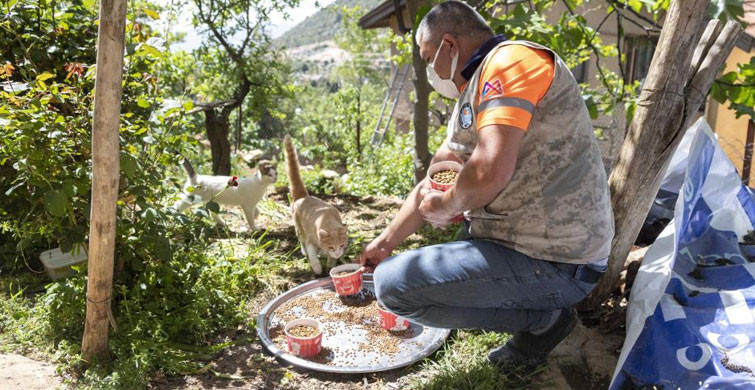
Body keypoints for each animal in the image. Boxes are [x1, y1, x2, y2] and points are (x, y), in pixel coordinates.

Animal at [284, 136, 348, 276]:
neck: (327, 221)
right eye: (331, 246)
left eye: (341, 245)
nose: (337, 253)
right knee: (301, 240)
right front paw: (318, 268)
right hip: (299, 228)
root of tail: (303, 197)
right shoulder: (310, 240)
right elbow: (313, 256)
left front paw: (331, 263)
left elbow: (331, 259)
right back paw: (305, 252)